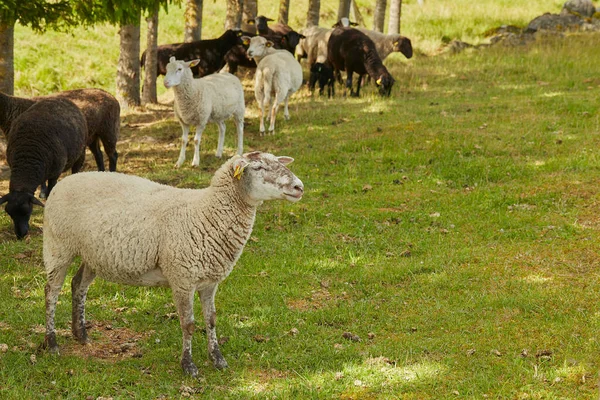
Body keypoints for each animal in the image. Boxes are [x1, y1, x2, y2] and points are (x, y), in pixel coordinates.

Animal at [0, 98, 86, 239]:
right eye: (9, 213)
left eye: (27, 211)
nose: (20, 235)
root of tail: (61, 99)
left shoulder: (55, 172)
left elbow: (52, 190)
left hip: (80, 153)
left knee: (75, 171)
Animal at [42, 151, 304, 378]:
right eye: (258, 167)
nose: (299, 187)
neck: (206, 212)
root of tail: (65, 181)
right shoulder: (182, 278)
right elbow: (188, 324)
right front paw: (188, 366)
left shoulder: (210, 282)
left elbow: (211, 320)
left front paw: (218, 359)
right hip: (57, 246)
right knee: (51, 293)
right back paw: (51, 342)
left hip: (92, 255)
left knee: (78, 285)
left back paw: (81, 334)